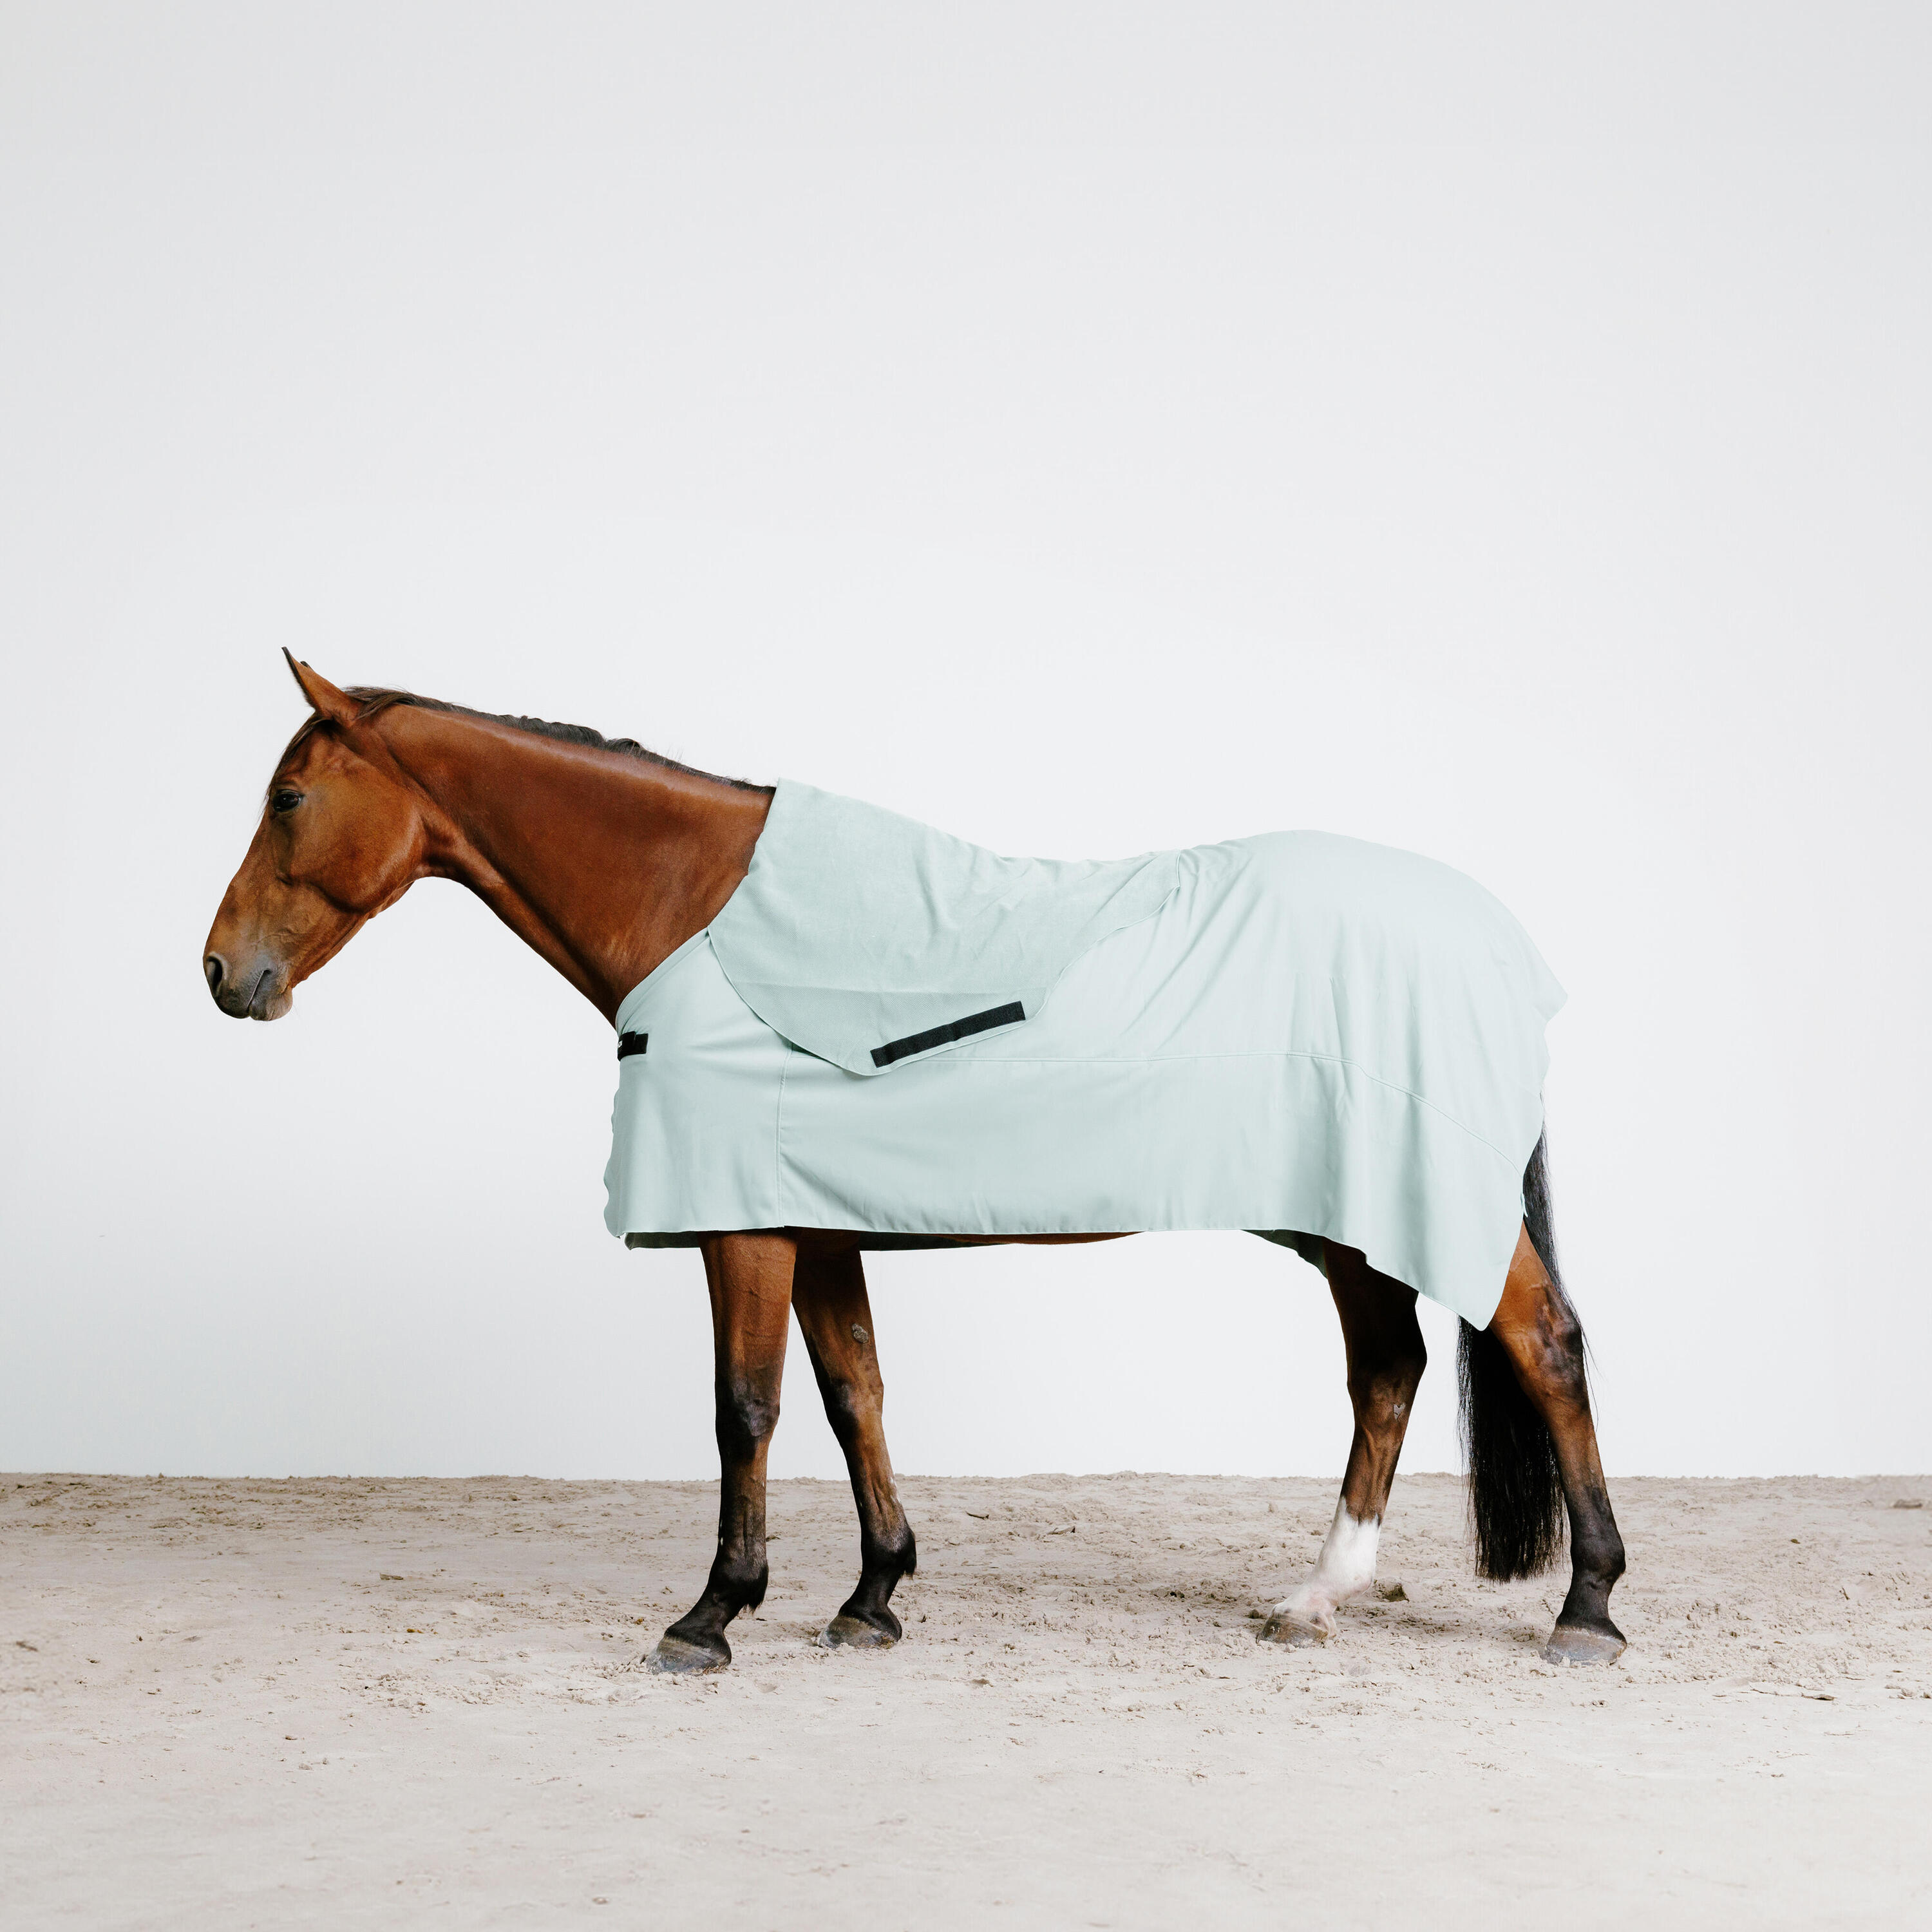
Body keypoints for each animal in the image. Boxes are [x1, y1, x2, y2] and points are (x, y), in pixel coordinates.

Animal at [205, 653, 1628, 1675]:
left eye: (286, 799)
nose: (223, 974)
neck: (704, 913)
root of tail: (1496, 937)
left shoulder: (744, 1231)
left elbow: (745, 1410)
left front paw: (711, 1615)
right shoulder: (816, 1223)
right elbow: (856, 1396)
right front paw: (872, 1595)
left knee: (1541, 1342)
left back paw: (1590, 1608)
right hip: (1343, 1221)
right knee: (1389, 1369)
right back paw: (1317, 1598)